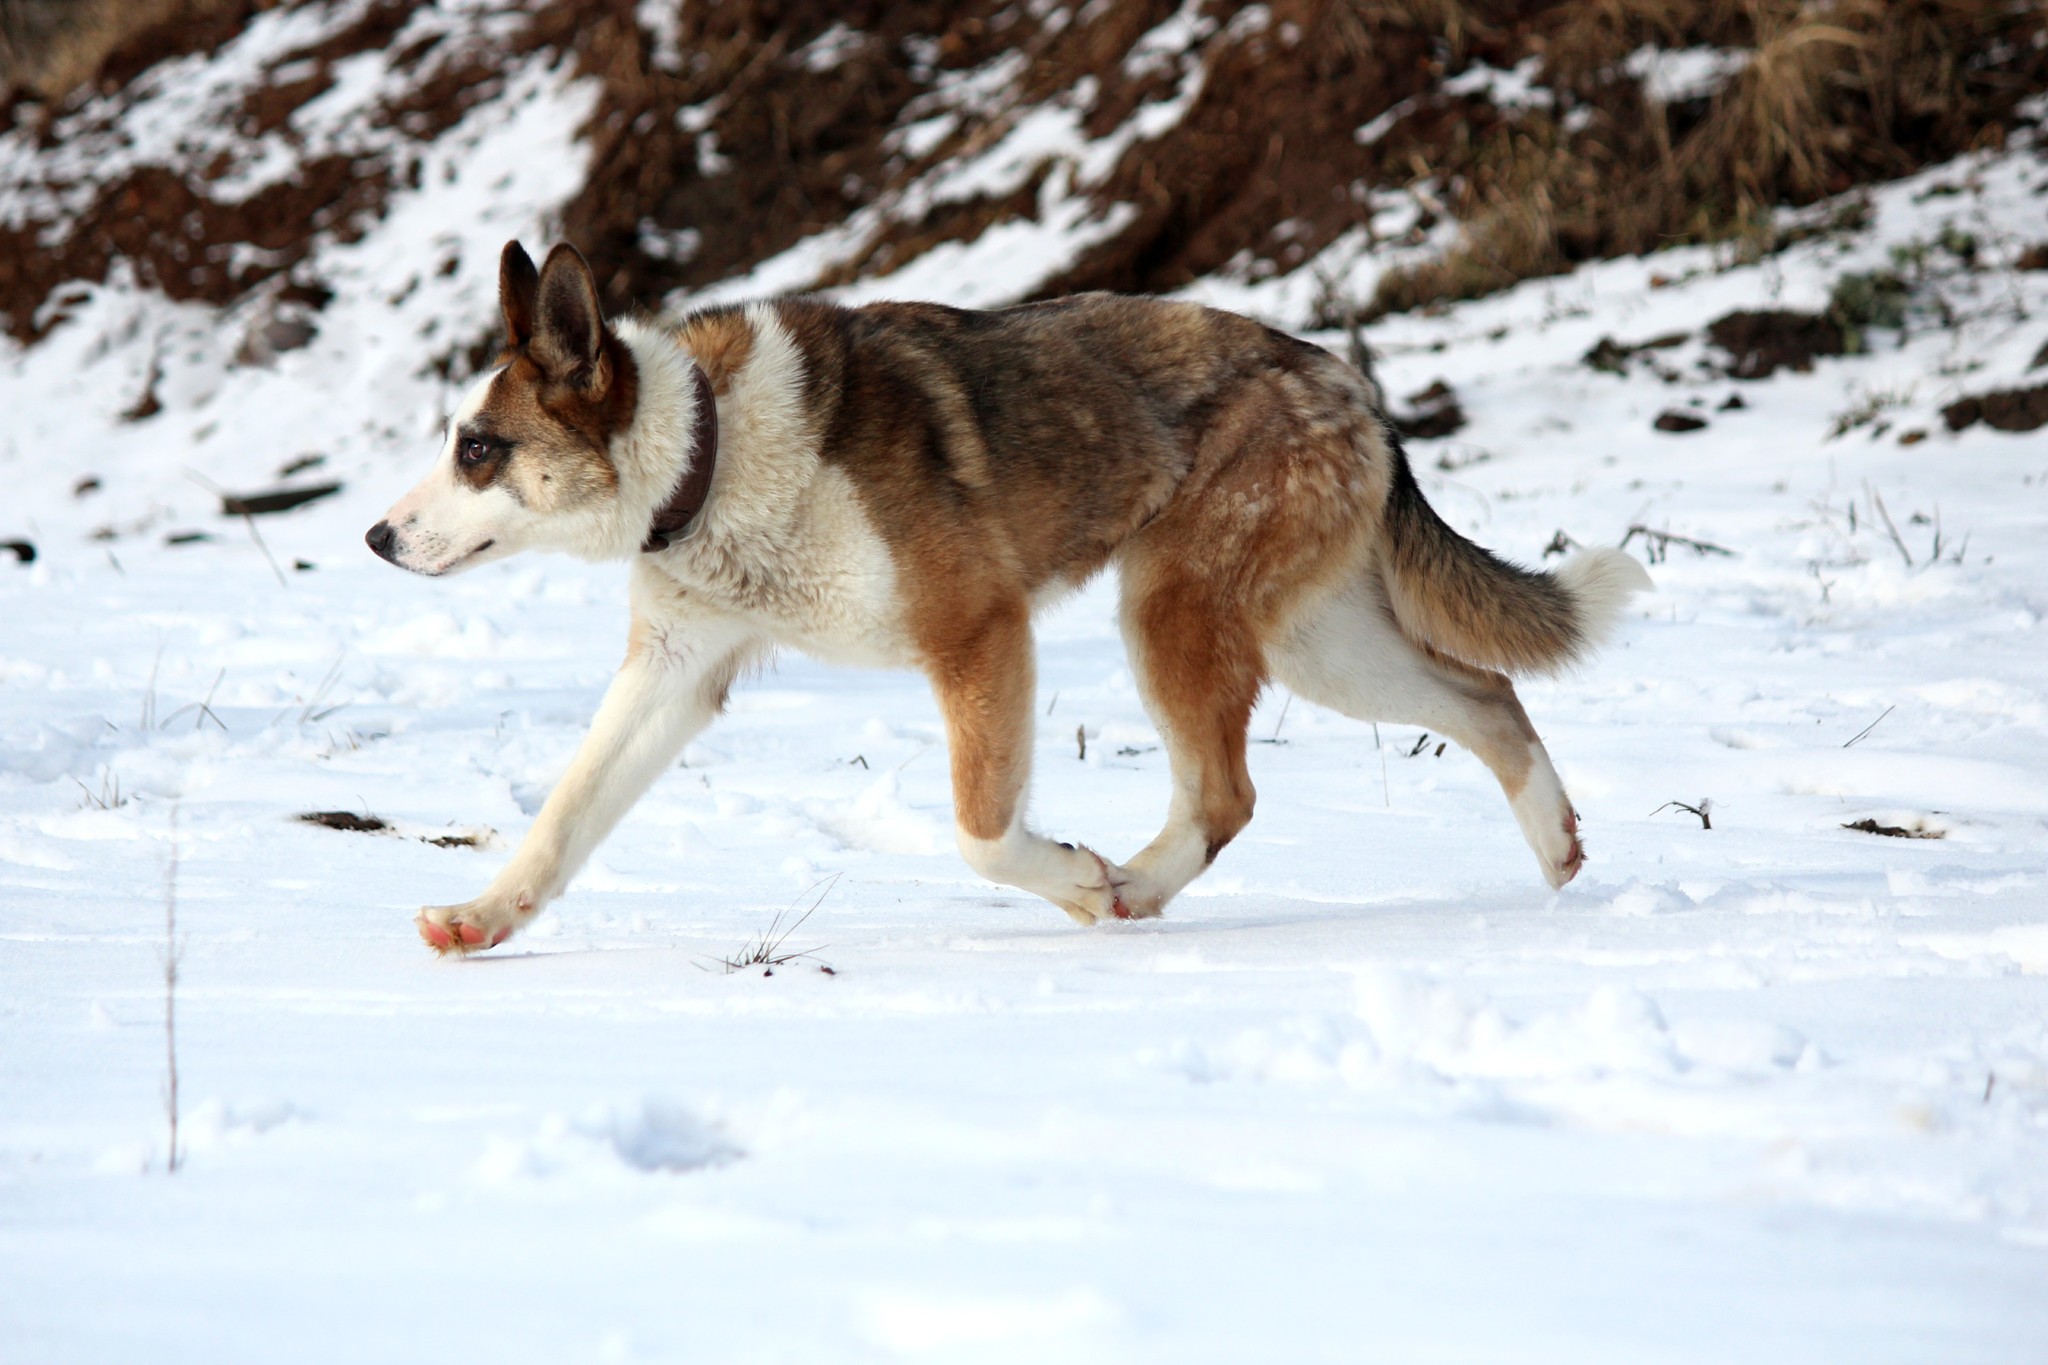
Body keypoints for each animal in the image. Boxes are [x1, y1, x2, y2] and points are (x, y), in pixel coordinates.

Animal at [364, 240, 1646, 957]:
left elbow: (982, 834)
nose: (375, 538)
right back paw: (1555, 854)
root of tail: (1343, 382)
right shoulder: (674, 673)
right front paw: (480, 919)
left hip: (1175, 613)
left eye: (476, 450)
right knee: (1485, 699)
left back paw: (1127, 889)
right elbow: (561, 820)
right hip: (1310, 642)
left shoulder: (977, 635)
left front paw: (1072, 881)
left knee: (1226, 794)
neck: (716, 453)